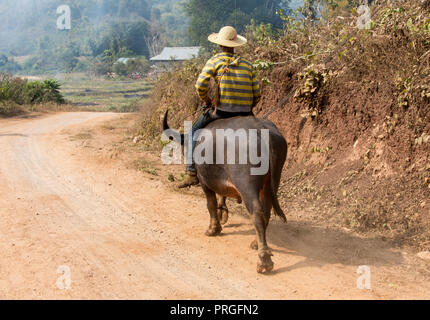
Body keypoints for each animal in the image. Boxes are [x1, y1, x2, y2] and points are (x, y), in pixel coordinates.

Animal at [163, 111, 288, 274]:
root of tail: (262, 131)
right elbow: (221, 194)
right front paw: (222, 212)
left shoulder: (204, 181)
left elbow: (210, 204)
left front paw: (213, 229)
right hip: (271, 183)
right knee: (266, 212)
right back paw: (256, 243)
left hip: (247, 186)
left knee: (257, 213)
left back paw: (264, 260)